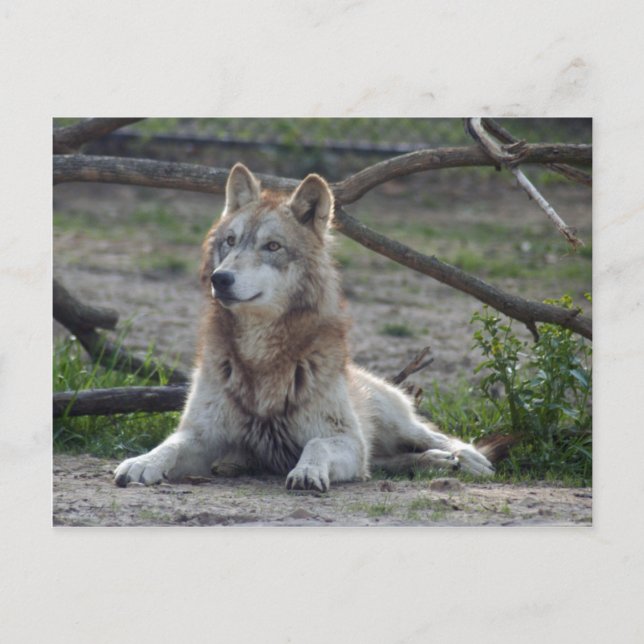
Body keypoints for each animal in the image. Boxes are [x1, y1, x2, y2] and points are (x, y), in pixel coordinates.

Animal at [114, 163, 494, 491]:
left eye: (272, 246)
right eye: (231, 241)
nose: (220, 279)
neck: (261, 356)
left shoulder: (346, 439)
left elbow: (316, 445)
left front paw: (307, 471)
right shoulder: (203, 435)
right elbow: (170, 444)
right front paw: (142, 462)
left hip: (396, 424)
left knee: (434, 436)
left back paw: (467, 459)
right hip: (380, 453)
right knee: (390, 463)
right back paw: (438, 462)